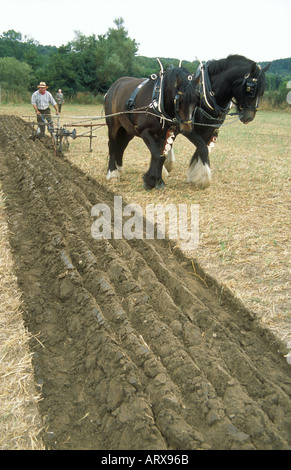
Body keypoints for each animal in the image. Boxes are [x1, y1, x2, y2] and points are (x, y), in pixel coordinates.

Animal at [184, 54, 272, 187]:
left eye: (262, 92)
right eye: (250, 89)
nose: (249, 117)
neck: (205, 95)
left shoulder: (209, 131)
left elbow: (201, 149)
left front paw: (195, 175)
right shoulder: (188, 130)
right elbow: (203, 148)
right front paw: (204, 178)